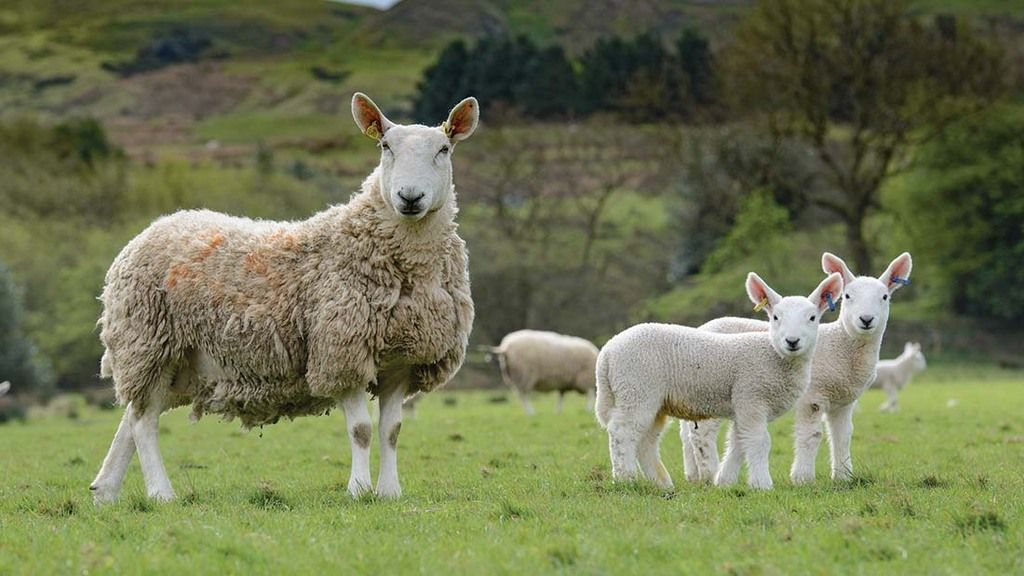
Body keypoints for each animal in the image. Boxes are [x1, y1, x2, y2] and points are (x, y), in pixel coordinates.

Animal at [89, 92, 479, 503]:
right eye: (385, 147)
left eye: (444, 149)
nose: (409, 197)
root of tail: (150, 229)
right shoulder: (340, 352)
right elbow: (361, 430)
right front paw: (358, 490)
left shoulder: (401, 361)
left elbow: (391, 431)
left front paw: (389, 491)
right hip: (147, 341)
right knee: (144, 421)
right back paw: (161, 493)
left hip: (176, 359)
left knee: (132, 417)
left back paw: (105, 491)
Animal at [596, 272, 844, 490]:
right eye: (775, 317)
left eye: (812, 318)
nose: (792, 341)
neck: (773, 354)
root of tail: (607, 352)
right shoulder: (751, 396)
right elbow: (758, 441)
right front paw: (762, 484)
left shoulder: (742, 404)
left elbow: (738, 442)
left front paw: (725, 481)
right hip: (636, 388)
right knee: (622, 432)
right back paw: (626, 479)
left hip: (652, 400)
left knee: (646, 441)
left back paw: (662, 483)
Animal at [685, 252, 913, 485]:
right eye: (848, 296)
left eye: (884, 297)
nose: (866, 319)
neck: (842, 347)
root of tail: (702, 327)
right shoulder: (812, 397)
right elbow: (812, 435)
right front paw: (803, 477)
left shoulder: (844, 401)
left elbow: (843, 435)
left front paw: (843, 476)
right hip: (709, 386)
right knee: (701, 433)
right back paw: (710, 474)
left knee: (685, 433)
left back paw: (693, 475)